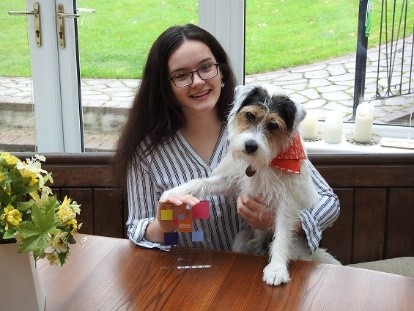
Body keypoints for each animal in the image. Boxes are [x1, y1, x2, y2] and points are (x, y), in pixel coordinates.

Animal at [161, 83, 340, 288]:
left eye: (273, 125)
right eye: (250, 116)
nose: (250, 146)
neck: (263, 164)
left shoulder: (286, 205)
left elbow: (281, 236)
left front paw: (276, 269)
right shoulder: (230, 180)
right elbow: (201, 182)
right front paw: (175, 193)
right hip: (240, 239)